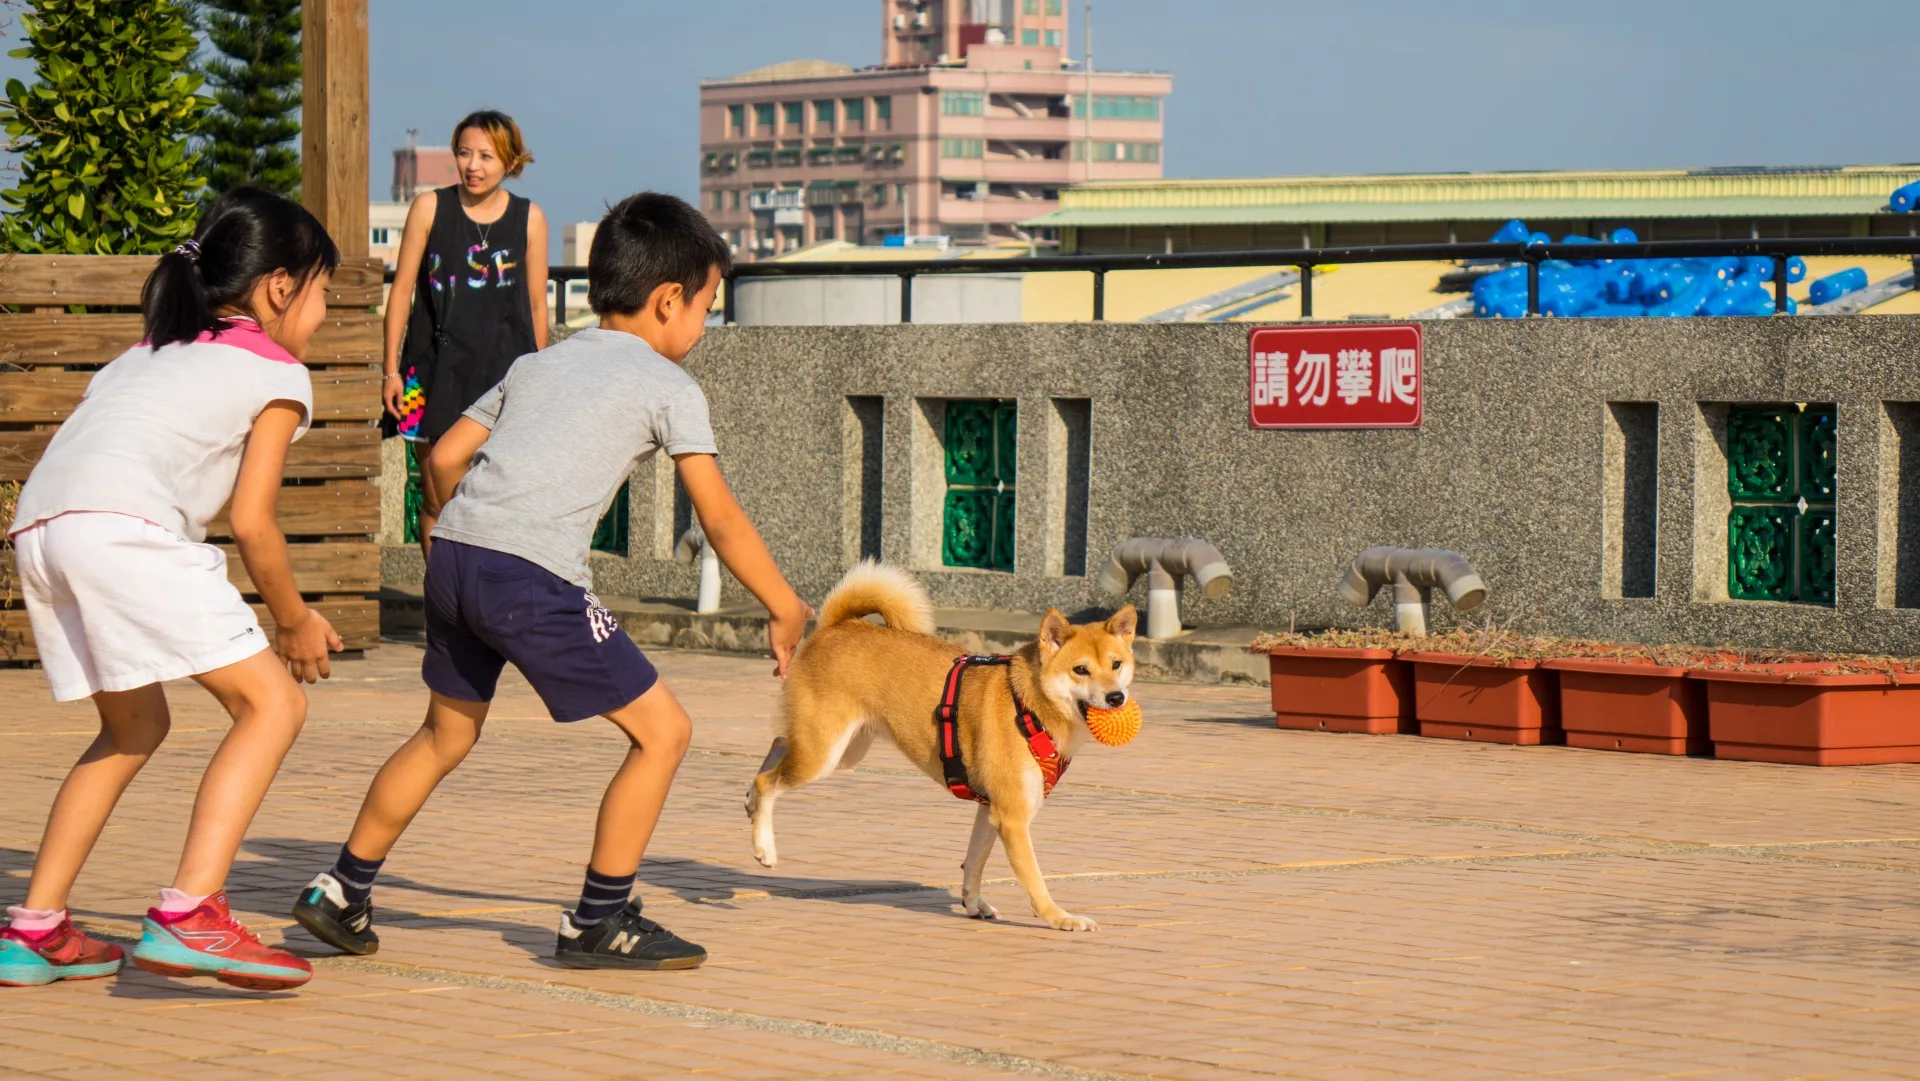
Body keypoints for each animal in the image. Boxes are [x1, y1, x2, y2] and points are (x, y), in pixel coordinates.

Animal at [748, 564, 1136, 933]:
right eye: (1080, 670)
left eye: (1116, 664)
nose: (1116, 697)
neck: (1029, 708)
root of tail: (834, 626)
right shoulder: (1013, 817)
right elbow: (1036, 882)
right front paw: (1061, 918)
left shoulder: (991, 810)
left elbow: (974, 862)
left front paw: (973, 904)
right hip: (822, 753)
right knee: (768, 781)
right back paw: (764, 845)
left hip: (842, 750)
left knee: (778, 743)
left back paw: (750, 803)